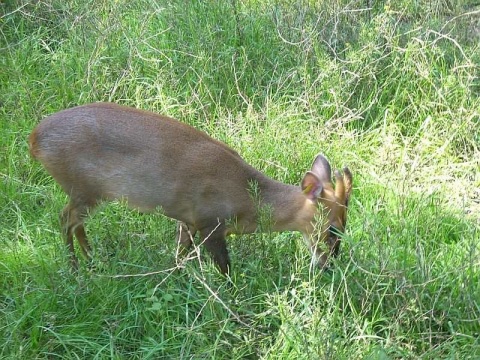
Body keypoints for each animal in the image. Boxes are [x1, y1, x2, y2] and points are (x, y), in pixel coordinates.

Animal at [29, 102, 352, 274]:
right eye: (333, 230)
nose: (329, 266)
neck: (248, 201)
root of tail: (35, 139)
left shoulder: (188, 220)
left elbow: (180, 253)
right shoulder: (210, 222)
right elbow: (225, 268)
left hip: (88, 192)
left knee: (75, 223)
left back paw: (93, 259)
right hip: (83, 188)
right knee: (65, 219)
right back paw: (75, 268)